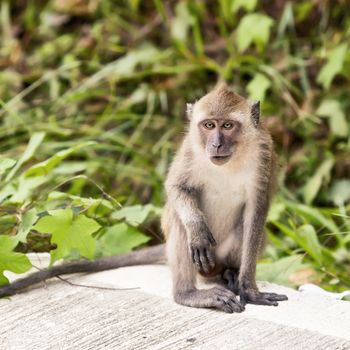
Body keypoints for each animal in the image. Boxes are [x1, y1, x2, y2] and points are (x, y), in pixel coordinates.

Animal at [0, 82, 288, 314]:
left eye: (227, 125)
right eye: (209, 125)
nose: (216, 144)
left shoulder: (264, 152)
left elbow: (256, 214)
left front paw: (249, 289)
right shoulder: (190, 149)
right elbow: (176, 187)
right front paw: (197, 229)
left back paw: (228, 274)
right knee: (180, 225)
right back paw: (189, 293)